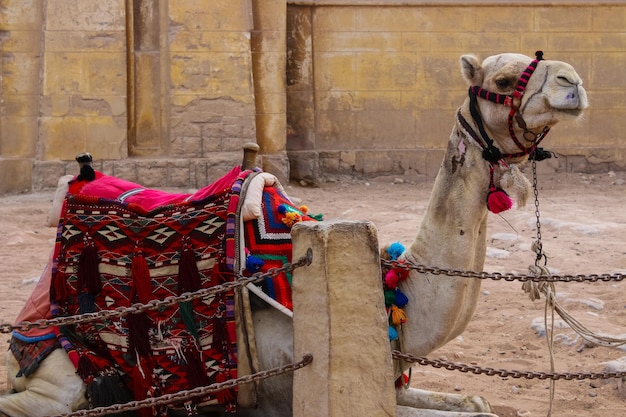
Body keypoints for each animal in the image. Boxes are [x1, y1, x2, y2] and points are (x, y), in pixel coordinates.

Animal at [0, 52, 584, 416]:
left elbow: (478, 403)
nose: (573, 82)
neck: (396, 295)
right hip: (62, 383)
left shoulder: (393, 383)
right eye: (504, 81)